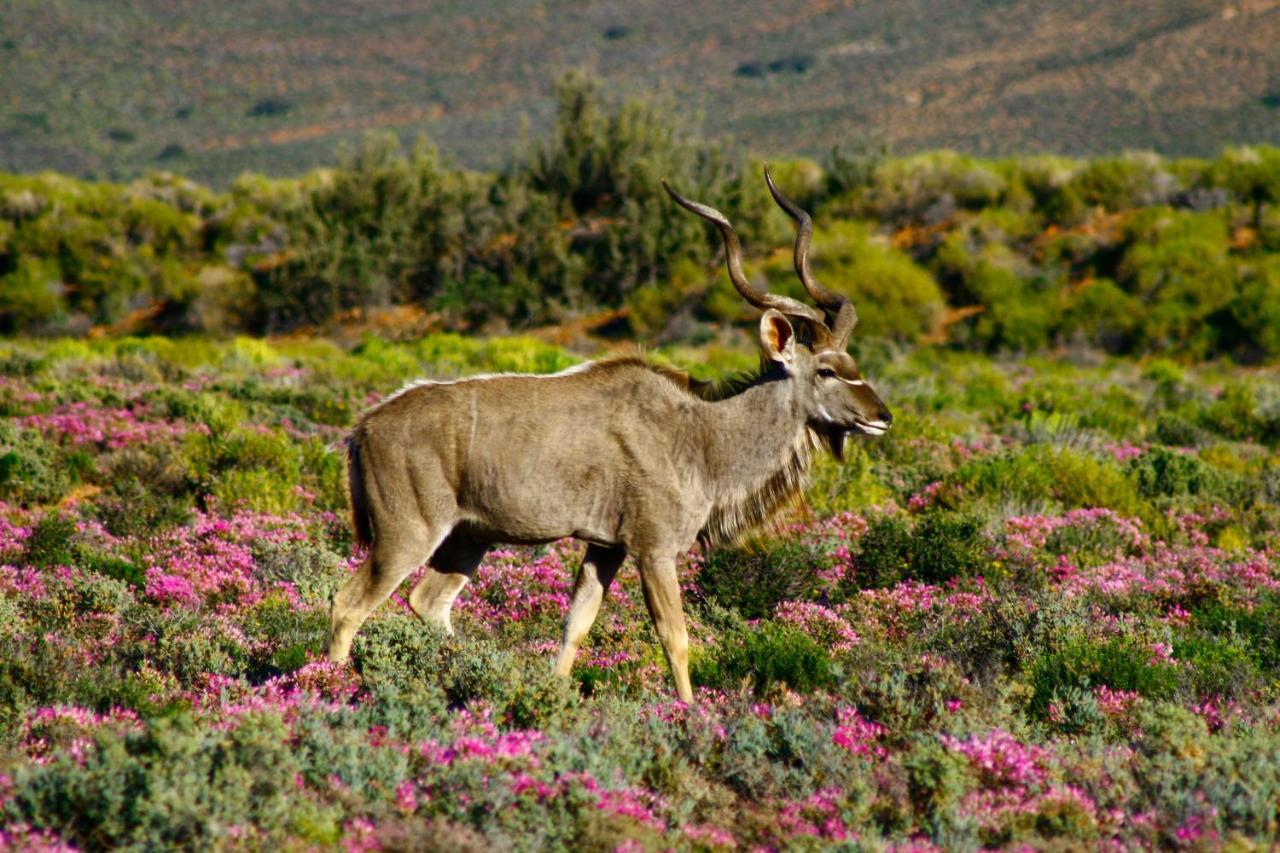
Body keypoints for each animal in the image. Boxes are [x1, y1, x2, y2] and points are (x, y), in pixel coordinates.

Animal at [327, 166, 890, 696]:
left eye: (853, 364)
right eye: (826, 370)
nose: (882, 415)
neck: (698, 436)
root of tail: (363, 428)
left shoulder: (605, 548)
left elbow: (576, 624)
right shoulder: (654, 548)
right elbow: (675, 638)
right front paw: (689, 712)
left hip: (468, 537)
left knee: (428, 602)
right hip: (407, 533)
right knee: (348, 603)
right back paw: (328, 685)